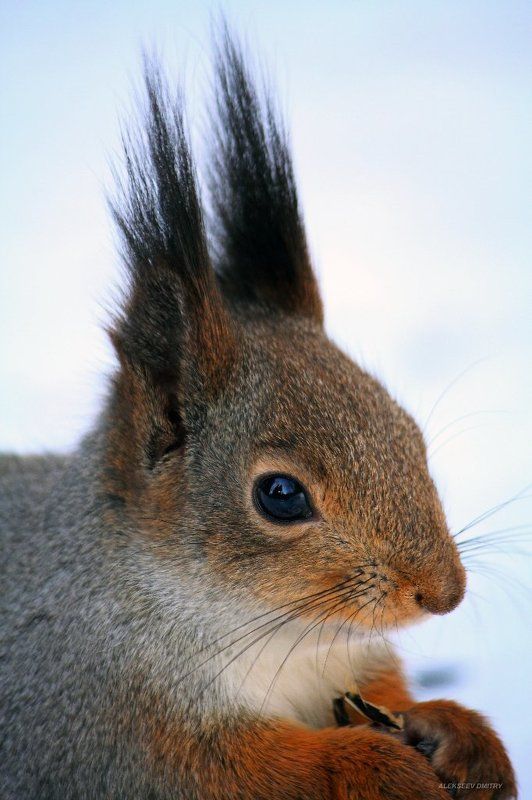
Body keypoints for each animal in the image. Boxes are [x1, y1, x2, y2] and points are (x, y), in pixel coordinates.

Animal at [0, 29, 517, 800]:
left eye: (410, 435)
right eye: (280, 494)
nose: (444, 594)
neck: (282, 647)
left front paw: (463, 736)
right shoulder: (109, 734)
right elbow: (253, 773)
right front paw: (376, 765)